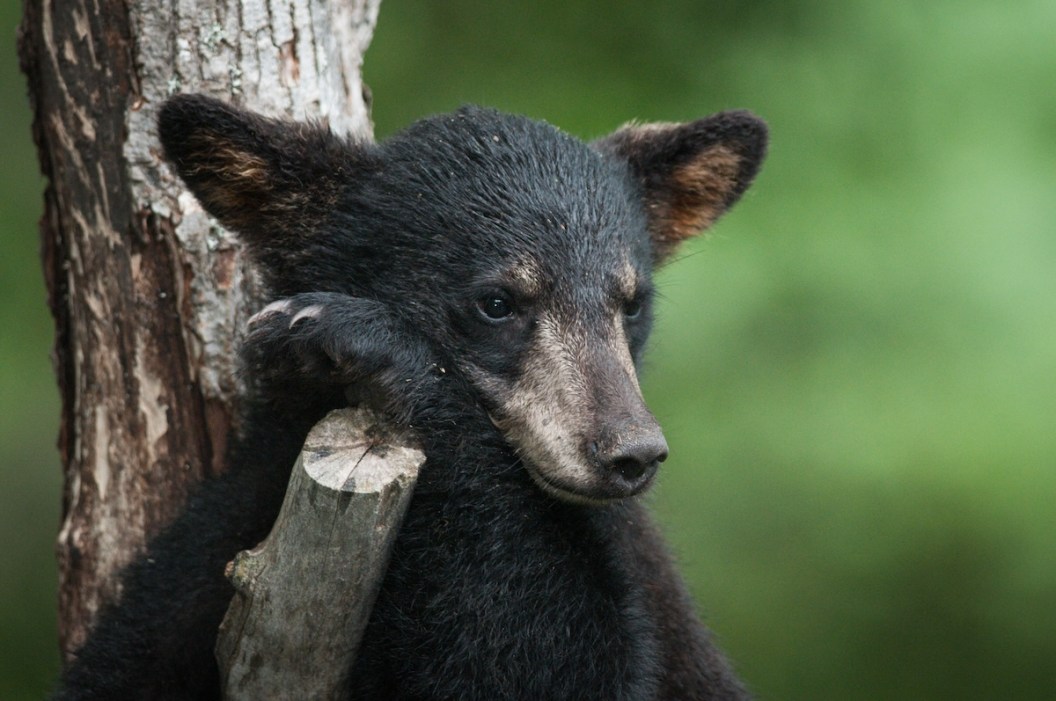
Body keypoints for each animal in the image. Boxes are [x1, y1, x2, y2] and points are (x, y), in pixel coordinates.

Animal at [54, 94, 767, 700]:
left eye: (633, 302)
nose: (631, 451)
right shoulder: (216, 548)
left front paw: (370, 340)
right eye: (497, 302)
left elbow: (548, 661)